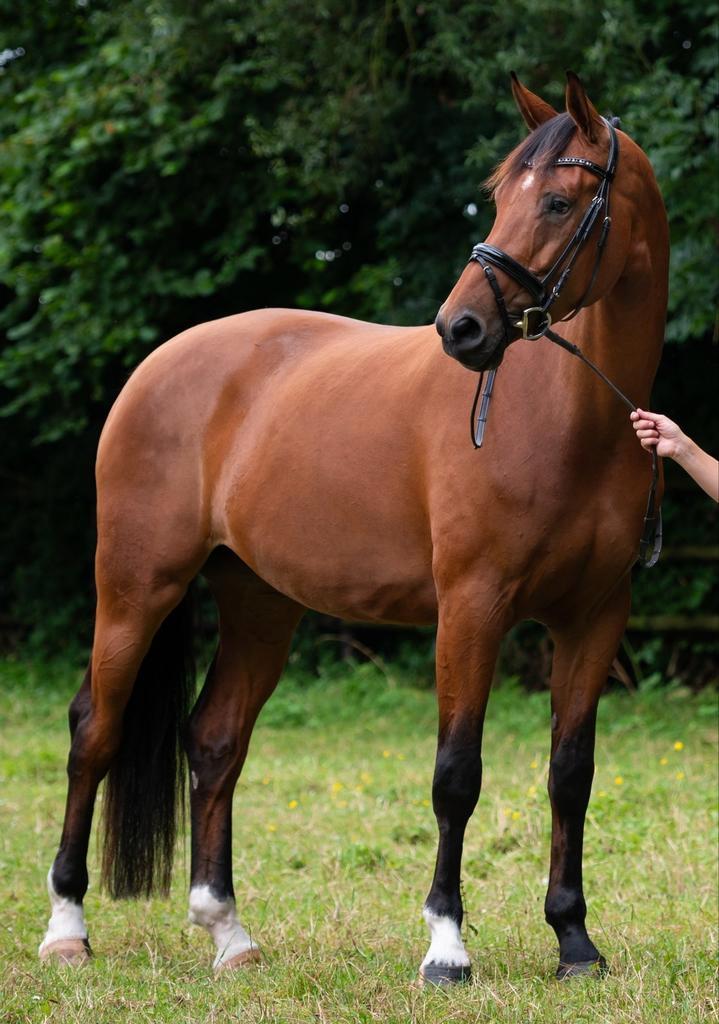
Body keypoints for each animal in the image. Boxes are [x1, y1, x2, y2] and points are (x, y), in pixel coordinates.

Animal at [39, 71, 668, 985]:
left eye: (556, 201)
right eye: (497, 198)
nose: (460, 330)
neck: (565, 416)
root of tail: (160, 363)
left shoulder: (594, 618)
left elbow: (570, 775)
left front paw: (574, 941)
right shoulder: (470, 606)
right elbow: (456, 773)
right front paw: (446, 947)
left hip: (260, 603)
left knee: (215, 740)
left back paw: (228, 934)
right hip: (134, 587)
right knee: (95, 731)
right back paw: (66, 927)